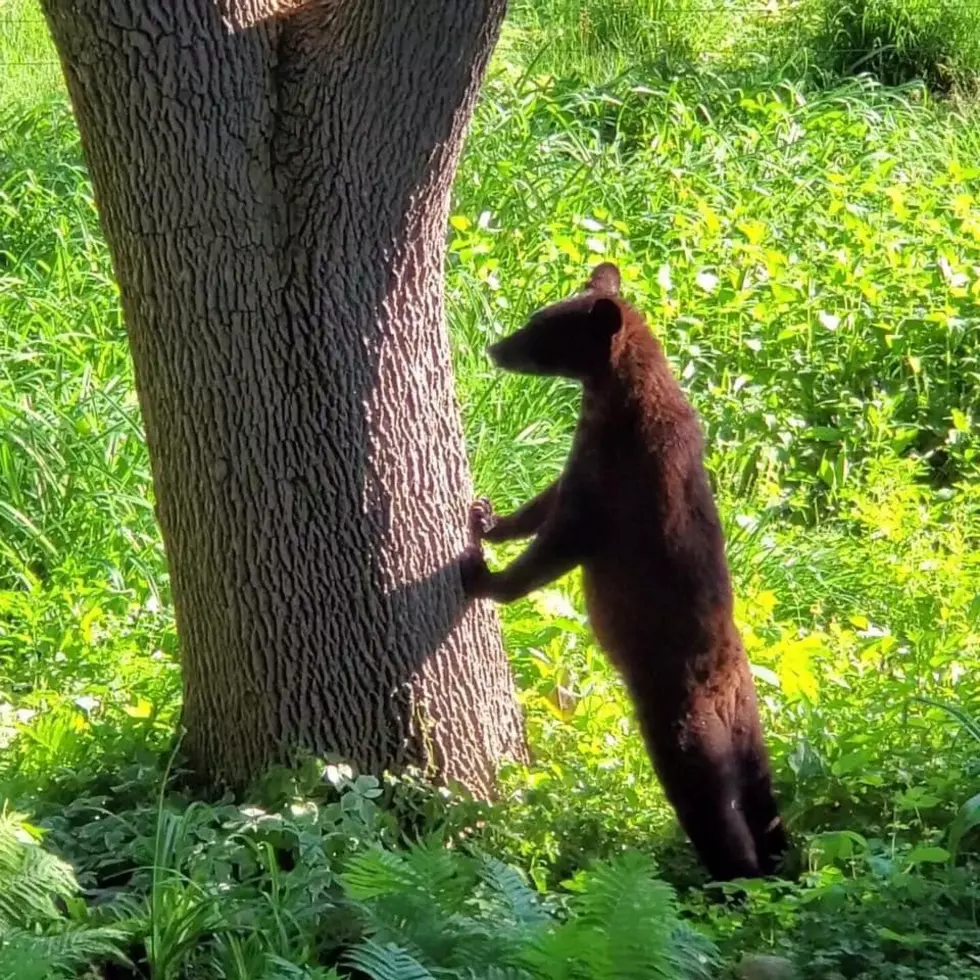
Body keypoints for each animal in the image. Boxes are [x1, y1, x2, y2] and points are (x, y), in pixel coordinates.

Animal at [460, 260, 788, 880]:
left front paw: (481, 574)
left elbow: (560, 541)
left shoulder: (615, 486)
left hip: (681, 728)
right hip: (751, 737)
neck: (614, 404)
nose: (494, 346)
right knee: (766, 804)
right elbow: (546, 501)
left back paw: (730, 878)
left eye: (540, 327)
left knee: (715, 810)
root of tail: (730, 688)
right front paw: (487, 516)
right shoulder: (584, 465)